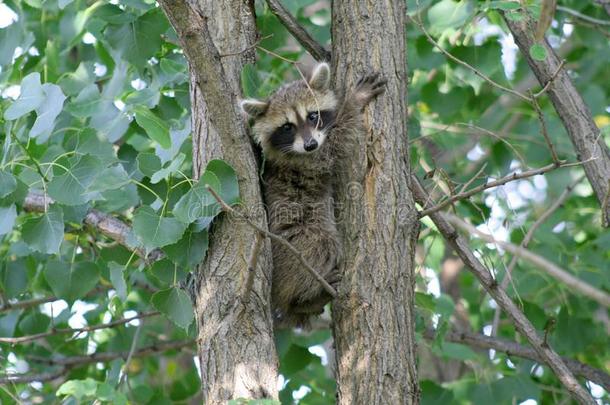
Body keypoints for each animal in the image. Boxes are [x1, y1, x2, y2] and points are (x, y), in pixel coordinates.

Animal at [239, 61, 384, 326]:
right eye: (287, 127)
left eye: (313, 115)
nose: (309, 145)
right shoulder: (306, 161)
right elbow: (337, 143)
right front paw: (354, 101)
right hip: (292, 244)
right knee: (320, 243)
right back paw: (304, 299)